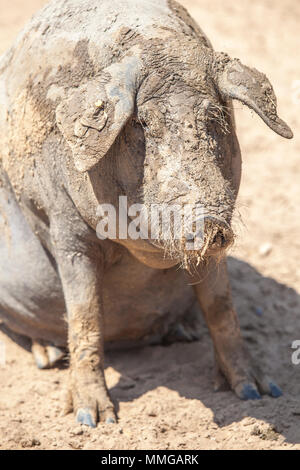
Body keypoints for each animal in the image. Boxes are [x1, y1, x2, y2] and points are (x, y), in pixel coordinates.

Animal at [0, 0, 292, 426]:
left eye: (213, 119)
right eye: (142, 124)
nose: (208, 223)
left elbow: (222, 308)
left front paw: (259, 392)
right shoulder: (64, 223)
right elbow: (86, 313)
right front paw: (94, 419)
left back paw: (183, 333)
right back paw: (48, 356)